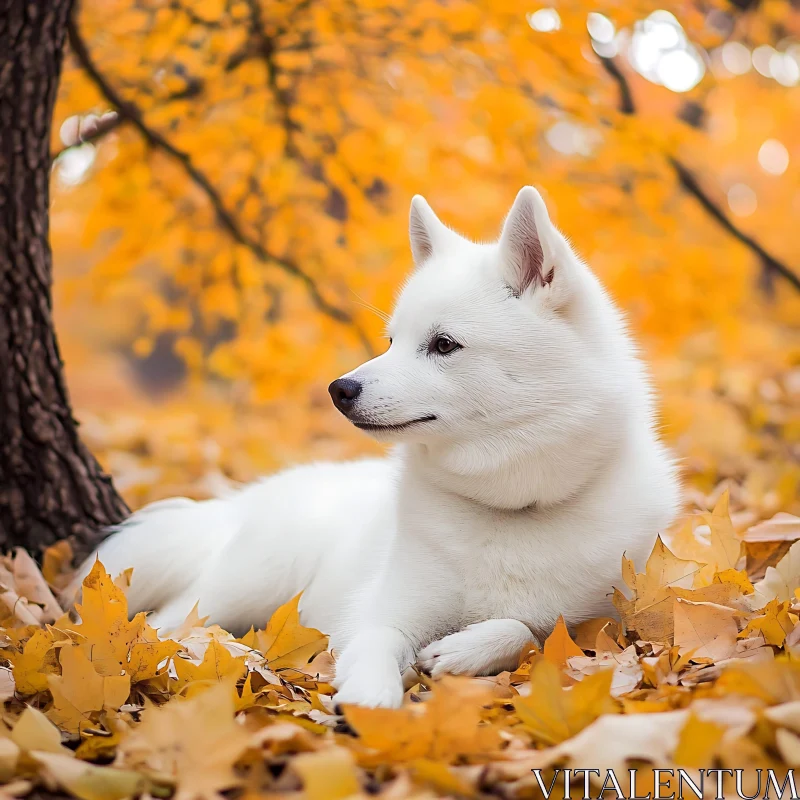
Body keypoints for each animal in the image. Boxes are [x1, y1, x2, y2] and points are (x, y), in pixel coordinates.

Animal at [72, 186, 680, 708]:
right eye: (392, 341)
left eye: (443, 344)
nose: (340, 389)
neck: (510, 510)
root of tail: (239, 502)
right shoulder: (380, 608)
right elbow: (376, 642)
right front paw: (369, 700)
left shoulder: (599, 623)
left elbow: (529, 629)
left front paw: (465, 649)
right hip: (248, 582)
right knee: (171, 624)